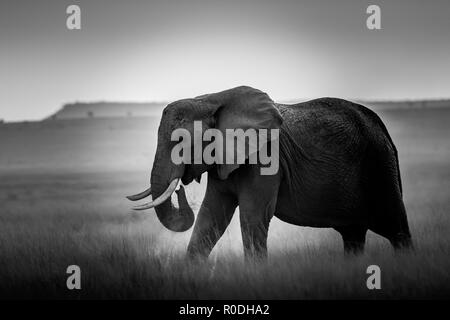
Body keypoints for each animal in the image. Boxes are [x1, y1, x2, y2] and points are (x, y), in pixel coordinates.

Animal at [126, 85, 412, 260]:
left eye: (180, 142)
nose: (180, 190)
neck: (210, 99)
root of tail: (384, 130)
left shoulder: (266, 158)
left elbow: (252, 217)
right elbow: (211, 216)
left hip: (379, 164)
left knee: (396, 228)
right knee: (353, 236)